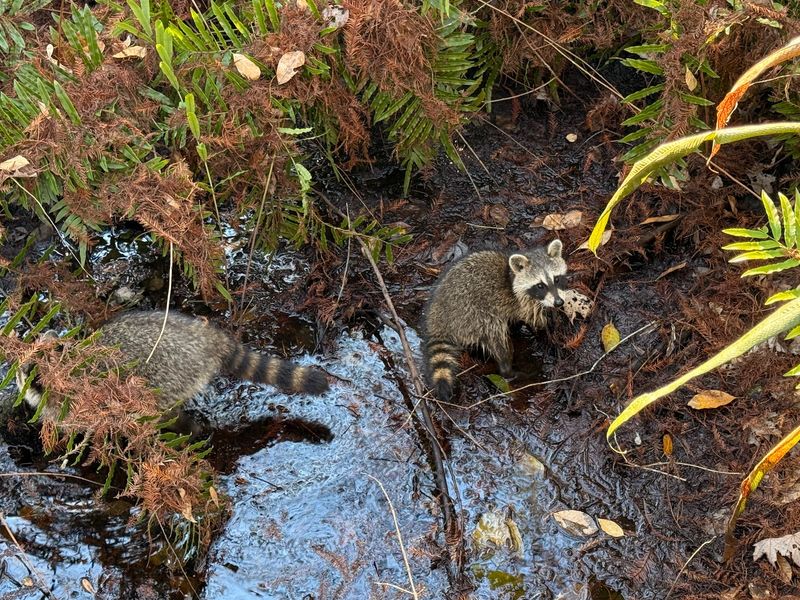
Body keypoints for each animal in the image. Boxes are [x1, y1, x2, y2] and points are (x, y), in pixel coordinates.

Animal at [422, 239, 567, 401]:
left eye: (556, 279)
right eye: (540, 285)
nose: (559, 302)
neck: (512, 276)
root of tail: (439, 317)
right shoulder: (523, 303)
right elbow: (535, 321)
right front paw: (549, 330)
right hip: (474, 316)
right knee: (497, 337)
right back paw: (508, 370)